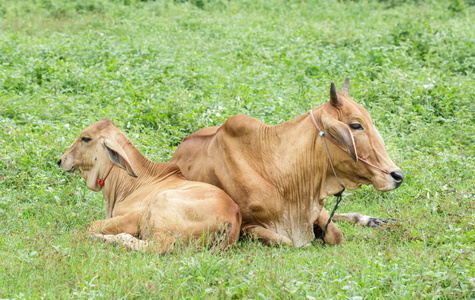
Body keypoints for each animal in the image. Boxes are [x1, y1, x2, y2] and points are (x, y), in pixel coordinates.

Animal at [57, 119, 242, 253]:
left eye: (86, 138)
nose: (60, 160)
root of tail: (232, 217)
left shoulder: (130, 218)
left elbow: (91, 225)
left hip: (163, 202)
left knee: (157, 247)